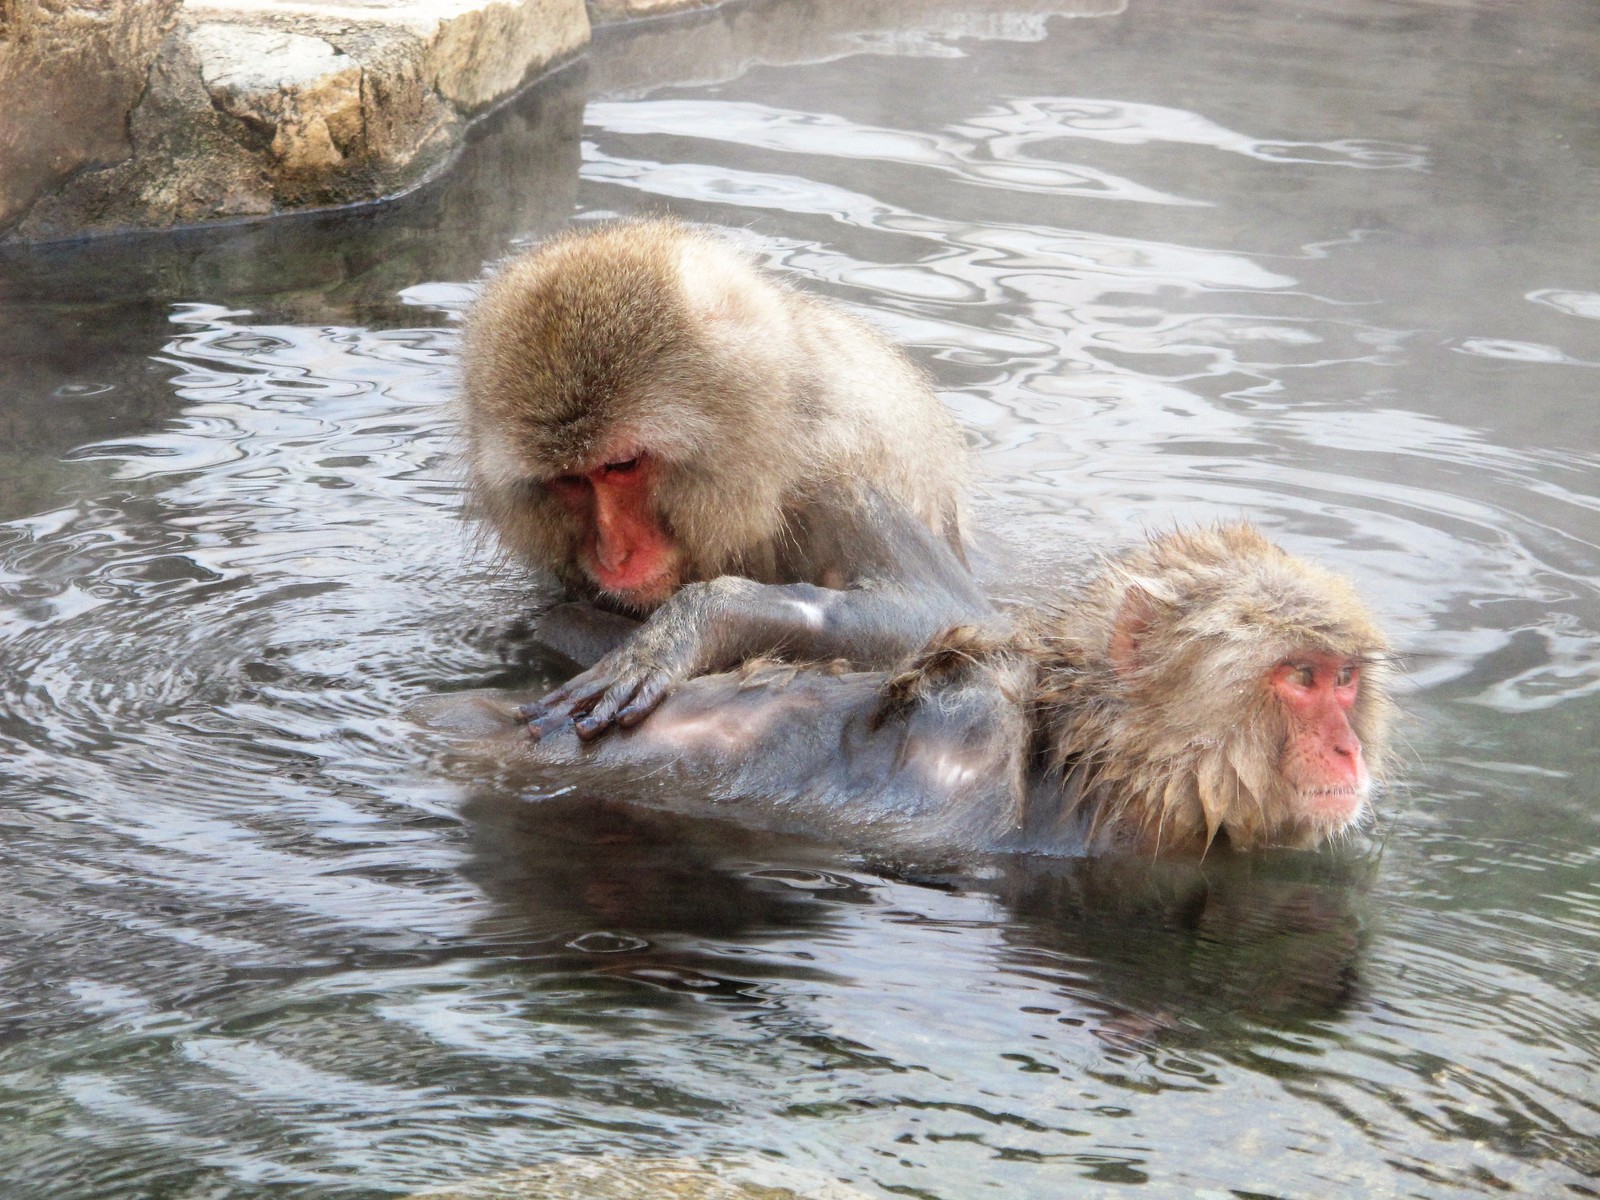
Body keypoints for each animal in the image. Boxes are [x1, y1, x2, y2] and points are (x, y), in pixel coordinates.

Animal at [464, 217, 979, 742]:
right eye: (569, 480)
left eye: (622, 465)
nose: (613, 555)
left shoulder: (841, 473)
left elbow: (940, 612)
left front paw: (689, 627)